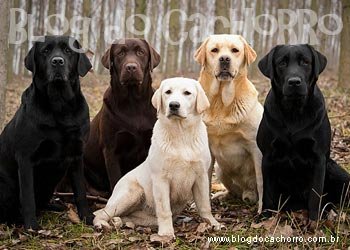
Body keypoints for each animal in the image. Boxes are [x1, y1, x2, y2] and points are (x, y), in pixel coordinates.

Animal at [0, 35, 93, 229]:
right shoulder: (25, 158)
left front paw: (87, 217)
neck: (60, 105)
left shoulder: (77, 154)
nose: (57, 61)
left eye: (68, 51)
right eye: (45, 51)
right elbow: (28, 197)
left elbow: (80, 191)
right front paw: (32, 227)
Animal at [84, 38, 161, 197]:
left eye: (140, 52)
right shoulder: (111, 150)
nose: (131, 67)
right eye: (120, 53)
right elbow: (116, 179)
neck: (133, 104)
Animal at [93, 78, 221, 238]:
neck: (180, 134)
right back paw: (101, 224)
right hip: (132, 192)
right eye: (168, 92)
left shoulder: (201, 176)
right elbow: (164, 209)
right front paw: (166, 233)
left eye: (187, 93)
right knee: (101, 212)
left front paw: (212, 223)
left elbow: (204, 205)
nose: (174, 105)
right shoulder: (161, 180)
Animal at [194, 34, 262, 211]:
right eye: (214, 50)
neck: (221, 101)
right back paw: (223, 196)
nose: (224, 59)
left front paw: (263, 209)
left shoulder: (256, 147)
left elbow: (262, 182)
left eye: (235, 50)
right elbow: (205, 181)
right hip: (220, 170)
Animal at [258, 45, 350, 221]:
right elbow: (268, 193)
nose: (294, 82)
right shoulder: (268, 157)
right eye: (282, 63)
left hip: (335, 170)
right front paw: (265, 217)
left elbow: (315, 195)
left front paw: (314, 222)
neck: (294, 113)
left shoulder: (319, 158)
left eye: (305, 62)